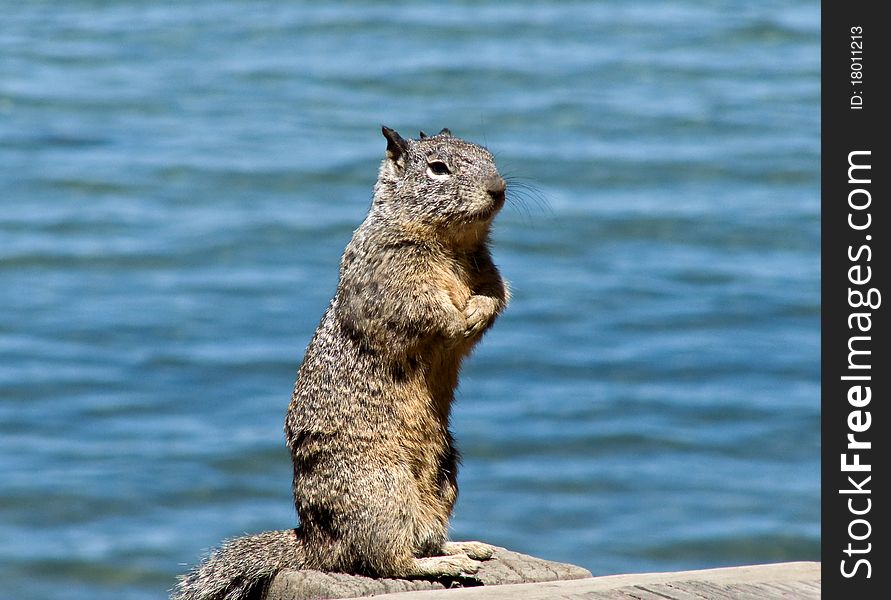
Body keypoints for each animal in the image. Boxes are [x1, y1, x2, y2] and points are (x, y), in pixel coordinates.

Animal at [174, 126, 508, 600]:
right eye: (438, 168)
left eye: (488, 155)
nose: (498, 189)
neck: (451, 245)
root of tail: (317, 542)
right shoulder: (391, 277)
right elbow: (422, 309)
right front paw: (457, 317)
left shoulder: (487, 269)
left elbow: (497, 294)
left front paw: (477, 310)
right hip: (382, 490)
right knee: (387, 559)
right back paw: (450, 561)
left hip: (444, 477)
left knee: (421, 539)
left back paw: (464, 547)